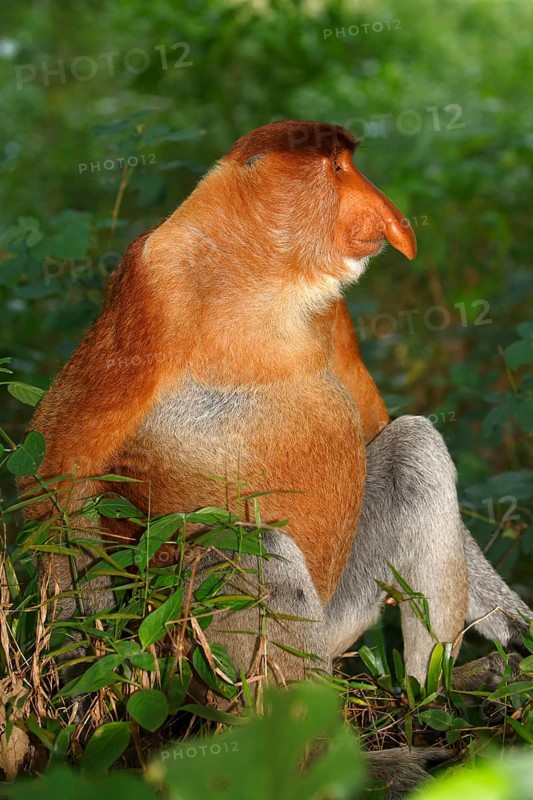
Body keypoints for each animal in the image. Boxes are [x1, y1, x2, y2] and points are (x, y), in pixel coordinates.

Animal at [20, 120, 532, 795]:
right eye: (338, 169)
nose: (390, 216)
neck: (264, 277)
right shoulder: (146, 288)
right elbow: (59, 467)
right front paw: (76, 689)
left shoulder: (334, 313)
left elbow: (377, 428)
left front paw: (520, 630)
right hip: (193, 654)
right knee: (249, 549)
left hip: (338, 617)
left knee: (413, 445)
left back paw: (433, 698)